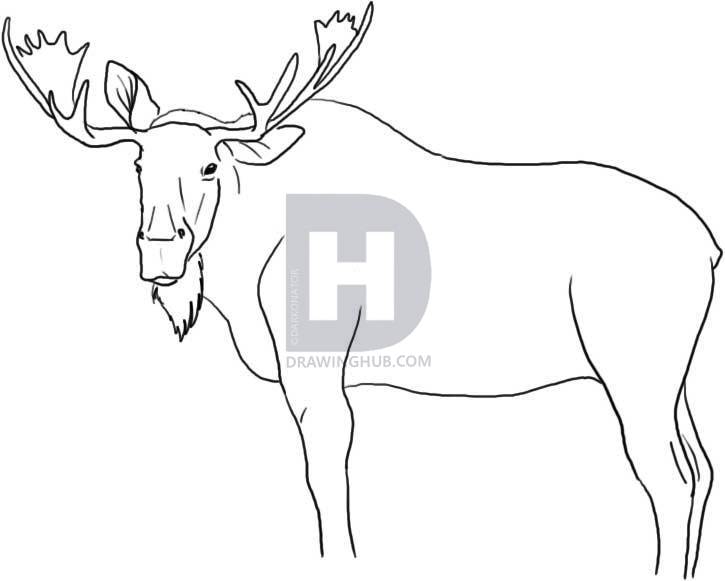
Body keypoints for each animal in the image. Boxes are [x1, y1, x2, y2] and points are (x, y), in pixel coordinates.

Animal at [3, 3, 720, 577]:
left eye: (211, 164)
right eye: (138, 162)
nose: (160, 250)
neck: (242, 263)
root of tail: (709, 246)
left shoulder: (315, 370)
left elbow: (326, 482)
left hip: (633, 369)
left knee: (666, 478)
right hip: (673, 378)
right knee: (701, 468)